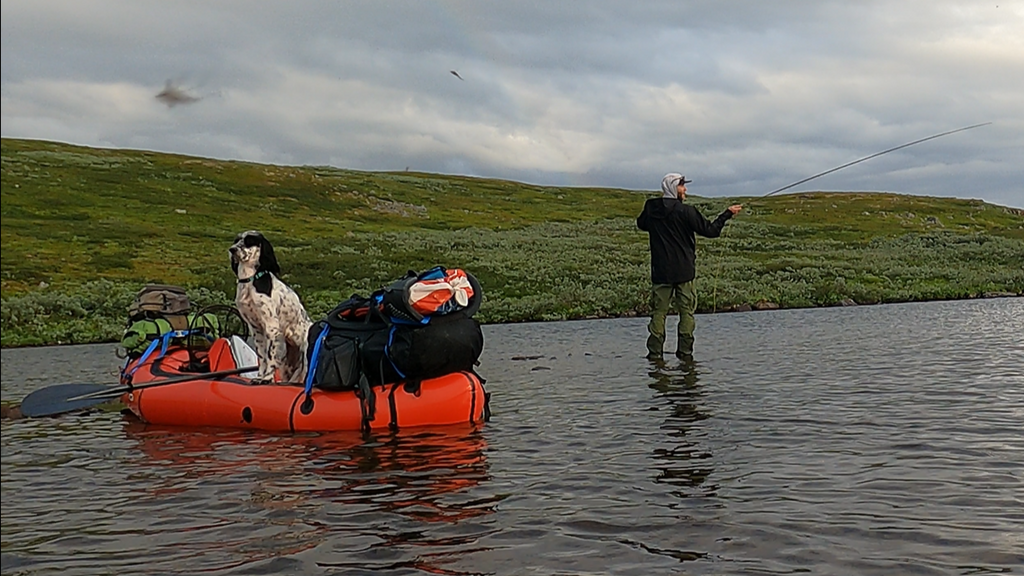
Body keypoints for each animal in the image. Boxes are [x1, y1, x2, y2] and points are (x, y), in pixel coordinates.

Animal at [229, 228, 311, 381]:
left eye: (249, 241)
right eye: (236, 240)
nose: (232, 249)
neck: (250, 280)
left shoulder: (271, 326)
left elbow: (270, 356)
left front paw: (266, 378)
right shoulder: (255, 327)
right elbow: (262, 357)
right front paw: (260, 376)